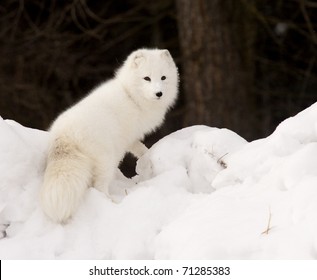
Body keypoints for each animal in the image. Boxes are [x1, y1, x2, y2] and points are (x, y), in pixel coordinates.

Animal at [39, 48, 178, 223]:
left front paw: (147, 156)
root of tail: (63, 135)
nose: (159, 93)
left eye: (163, 77)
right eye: (147, 78)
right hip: (107, 160)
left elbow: (140, 149)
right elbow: (141, 148)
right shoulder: (128, 135)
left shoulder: (130, 139)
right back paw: (112, 203)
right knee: (99, 186)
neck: (131, 96)